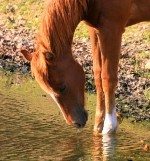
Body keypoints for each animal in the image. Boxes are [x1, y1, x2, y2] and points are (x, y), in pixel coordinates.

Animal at [21, 0, 150, 134]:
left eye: (62, 87)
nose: (76, 123)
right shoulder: (95, 29)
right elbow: (98, 75)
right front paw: (98, 126)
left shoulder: (112, 29)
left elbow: (108, 78)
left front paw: (109, 128)